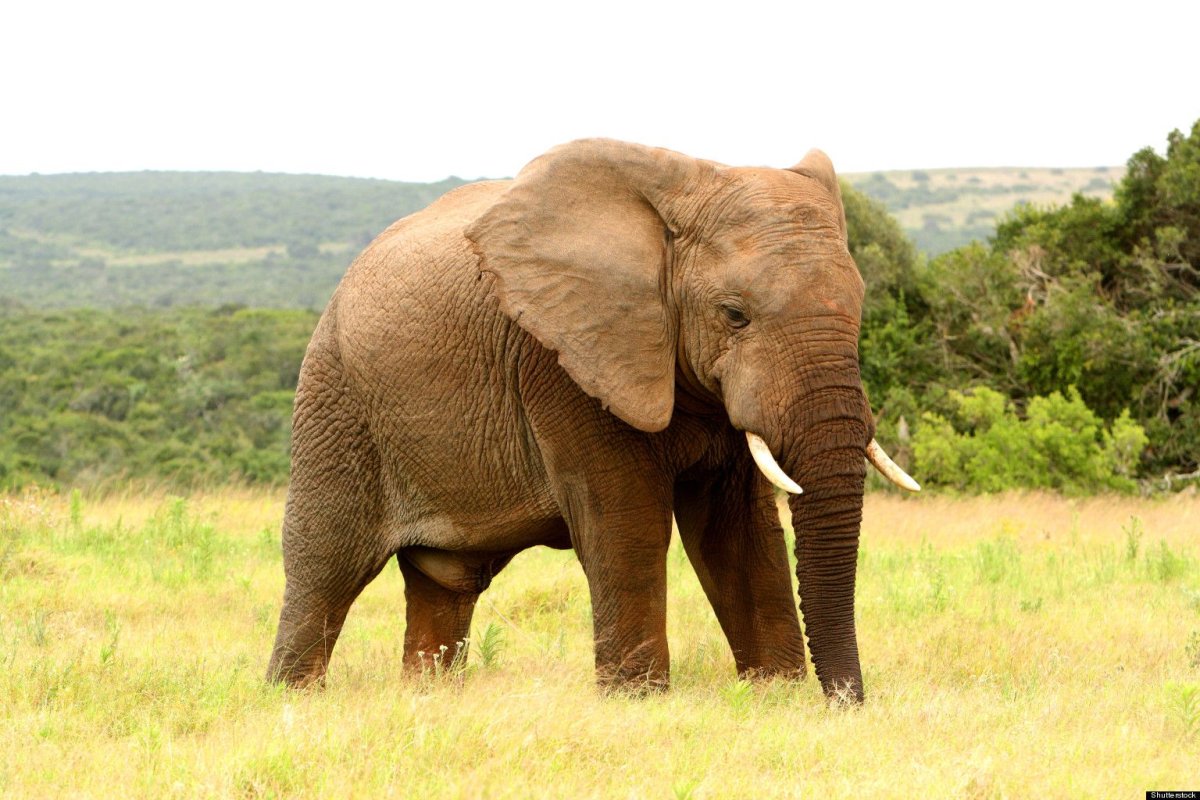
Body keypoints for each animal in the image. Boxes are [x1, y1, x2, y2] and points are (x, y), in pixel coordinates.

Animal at [266, 138, 918, 702]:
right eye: (735, 314)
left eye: (860, 305)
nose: (847, 703)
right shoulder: (561, 357)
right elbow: (628, 521)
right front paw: (638, 701)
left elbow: (737, 528)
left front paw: (772, 694)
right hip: (335, 398)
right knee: (324, 568)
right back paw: (290, 698)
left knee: (444, 580)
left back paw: (426, 700)